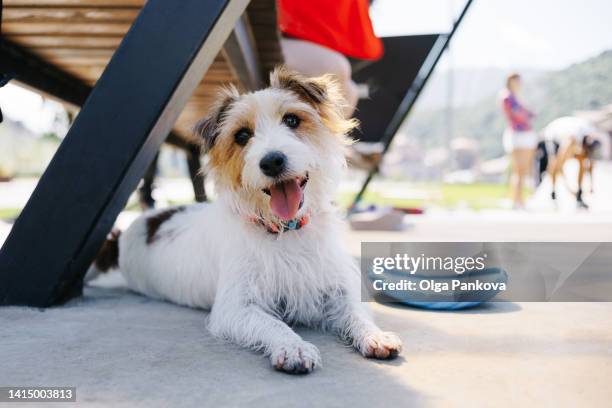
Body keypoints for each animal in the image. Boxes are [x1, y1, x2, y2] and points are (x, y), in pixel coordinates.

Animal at [92, 68, 402, 374]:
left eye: (292, 120)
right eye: (242, 136)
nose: (272, 161)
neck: (284, 230)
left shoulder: (337, 288)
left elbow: (356, 313)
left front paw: (375, 335)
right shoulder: (236, 307)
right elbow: (272, 324)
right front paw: (293, 347)